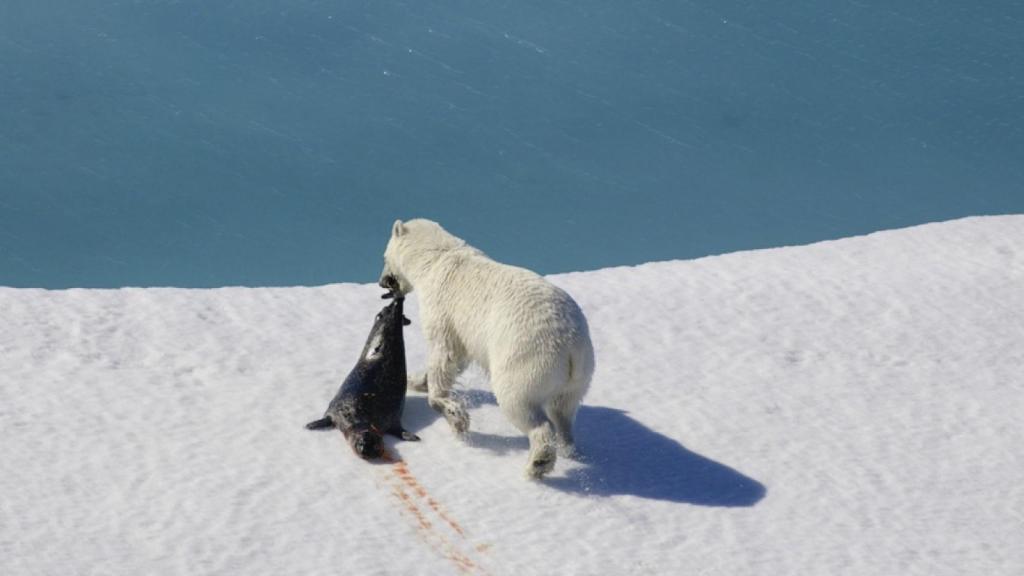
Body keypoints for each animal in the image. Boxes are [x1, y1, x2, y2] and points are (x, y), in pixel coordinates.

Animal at [380, 217, 598, 477]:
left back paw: (537, 463)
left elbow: (444, 354)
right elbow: (458, 358)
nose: (382, 281)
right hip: (579, 376)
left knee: (520, 405)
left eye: (384, 257)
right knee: (563, 410)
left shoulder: (441, 307)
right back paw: (567, 445)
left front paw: (453, 414)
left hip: (528, 359)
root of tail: (571, 345)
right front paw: (417, 381)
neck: (437, 258)